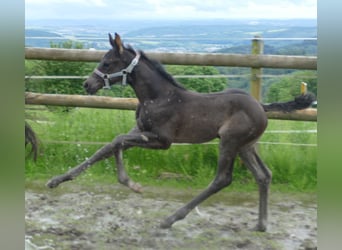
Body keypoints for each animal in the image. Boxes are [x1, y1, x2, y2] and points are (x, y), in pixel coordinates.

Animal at [46, 33, 314, 232]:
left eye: (107, 63)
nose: (87, 84)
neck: (157, 97)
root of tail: (261, 106)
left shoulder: (163, 141)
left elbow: (118, 141)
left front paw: (131, 184)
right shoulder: (141, 131)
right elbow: (107, 147)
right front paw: (56, 180)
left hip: (230, 142)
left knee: (222, 179)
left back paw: (171, 218)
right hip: (245, 146)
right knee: (264, 175)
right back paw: (261, 224)